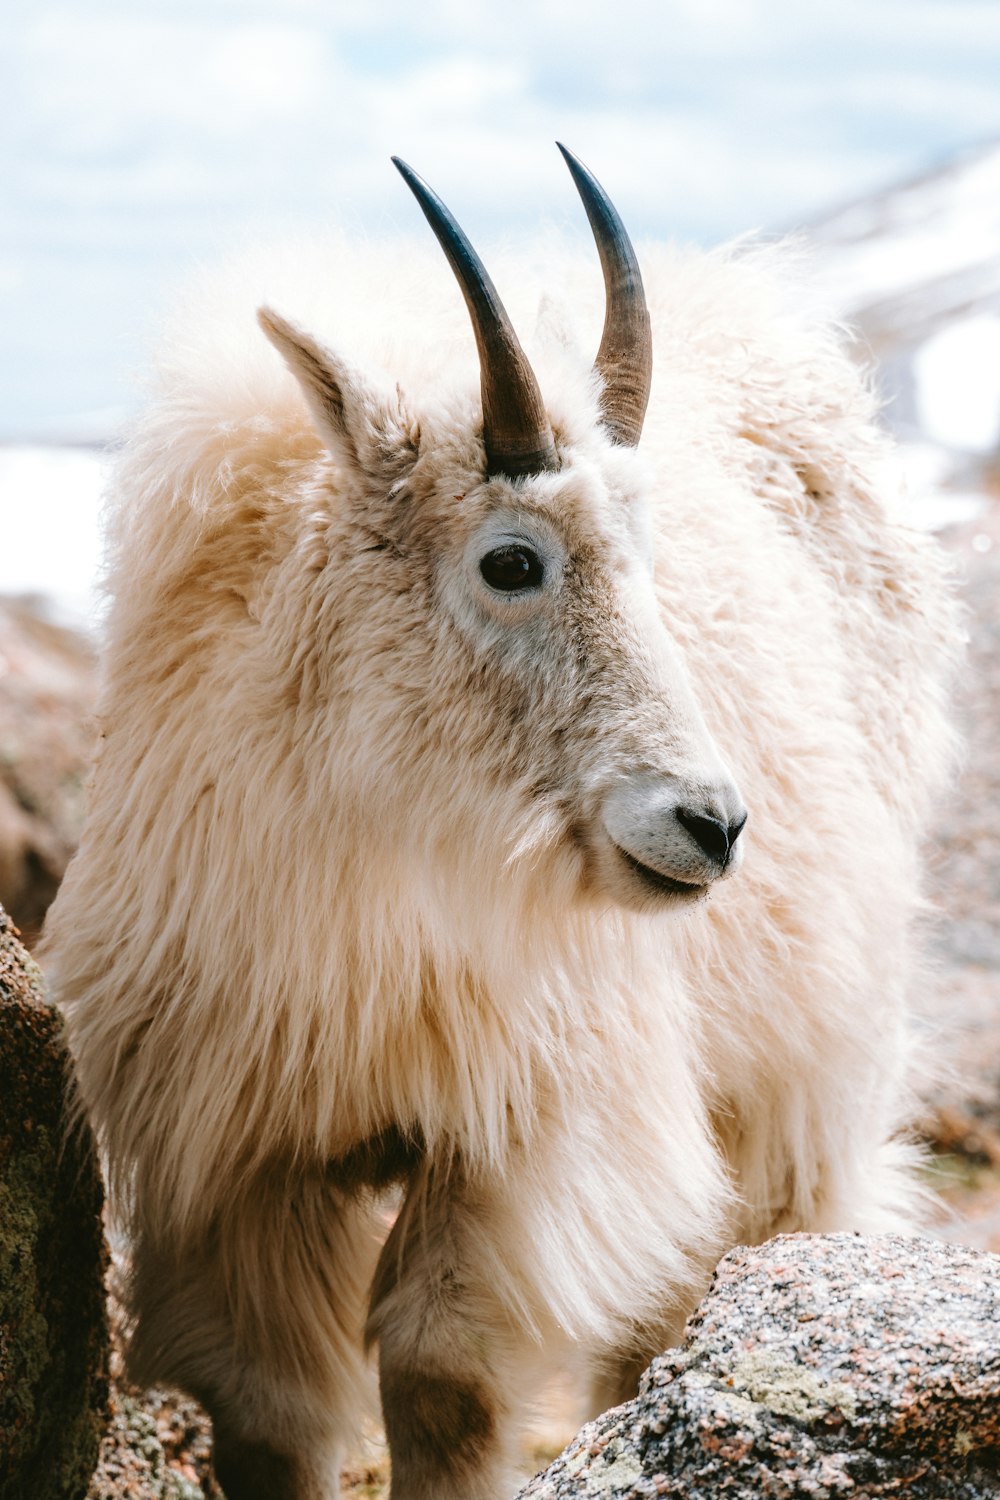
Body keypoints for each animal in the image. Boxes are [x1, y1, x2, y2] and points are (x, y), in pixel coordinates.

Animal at [44, 143, 959, 1500]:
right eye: (512, 561)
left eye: (650, 555)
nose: (712, 824)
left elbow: (443, 1377)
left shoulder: (531, 1127)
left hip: (797, 1075)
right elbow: (268, 1405)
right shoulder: (236, 1143)